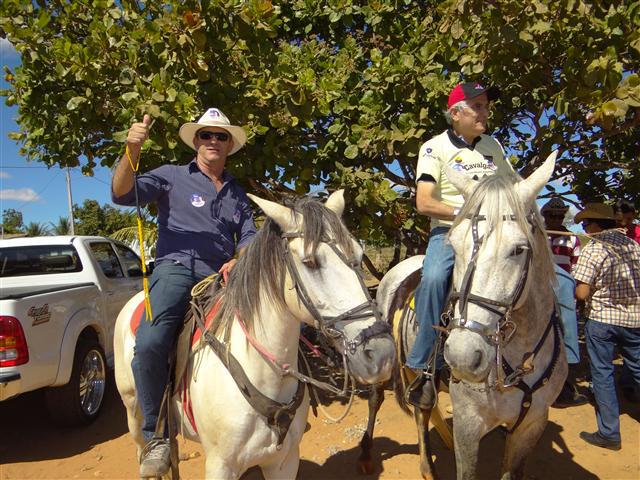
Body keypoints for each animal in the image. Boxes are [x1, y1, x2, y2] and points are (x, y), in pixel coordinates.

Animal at [114, 190, 397, 479]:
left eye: (359, 255)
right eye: (310, 262)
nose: (381, 354)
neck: (262, 373)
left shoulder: (284, 462)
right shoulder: (220, 466)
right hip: (133, 412)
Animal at [358, 152, 567, 480]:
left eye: (519, 249)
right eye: (454, 246)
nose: (463, 356)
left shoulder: (533, 424)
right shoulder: (469, 426)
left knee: (423, 409)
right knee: (380, 399)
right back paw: (375, 457)